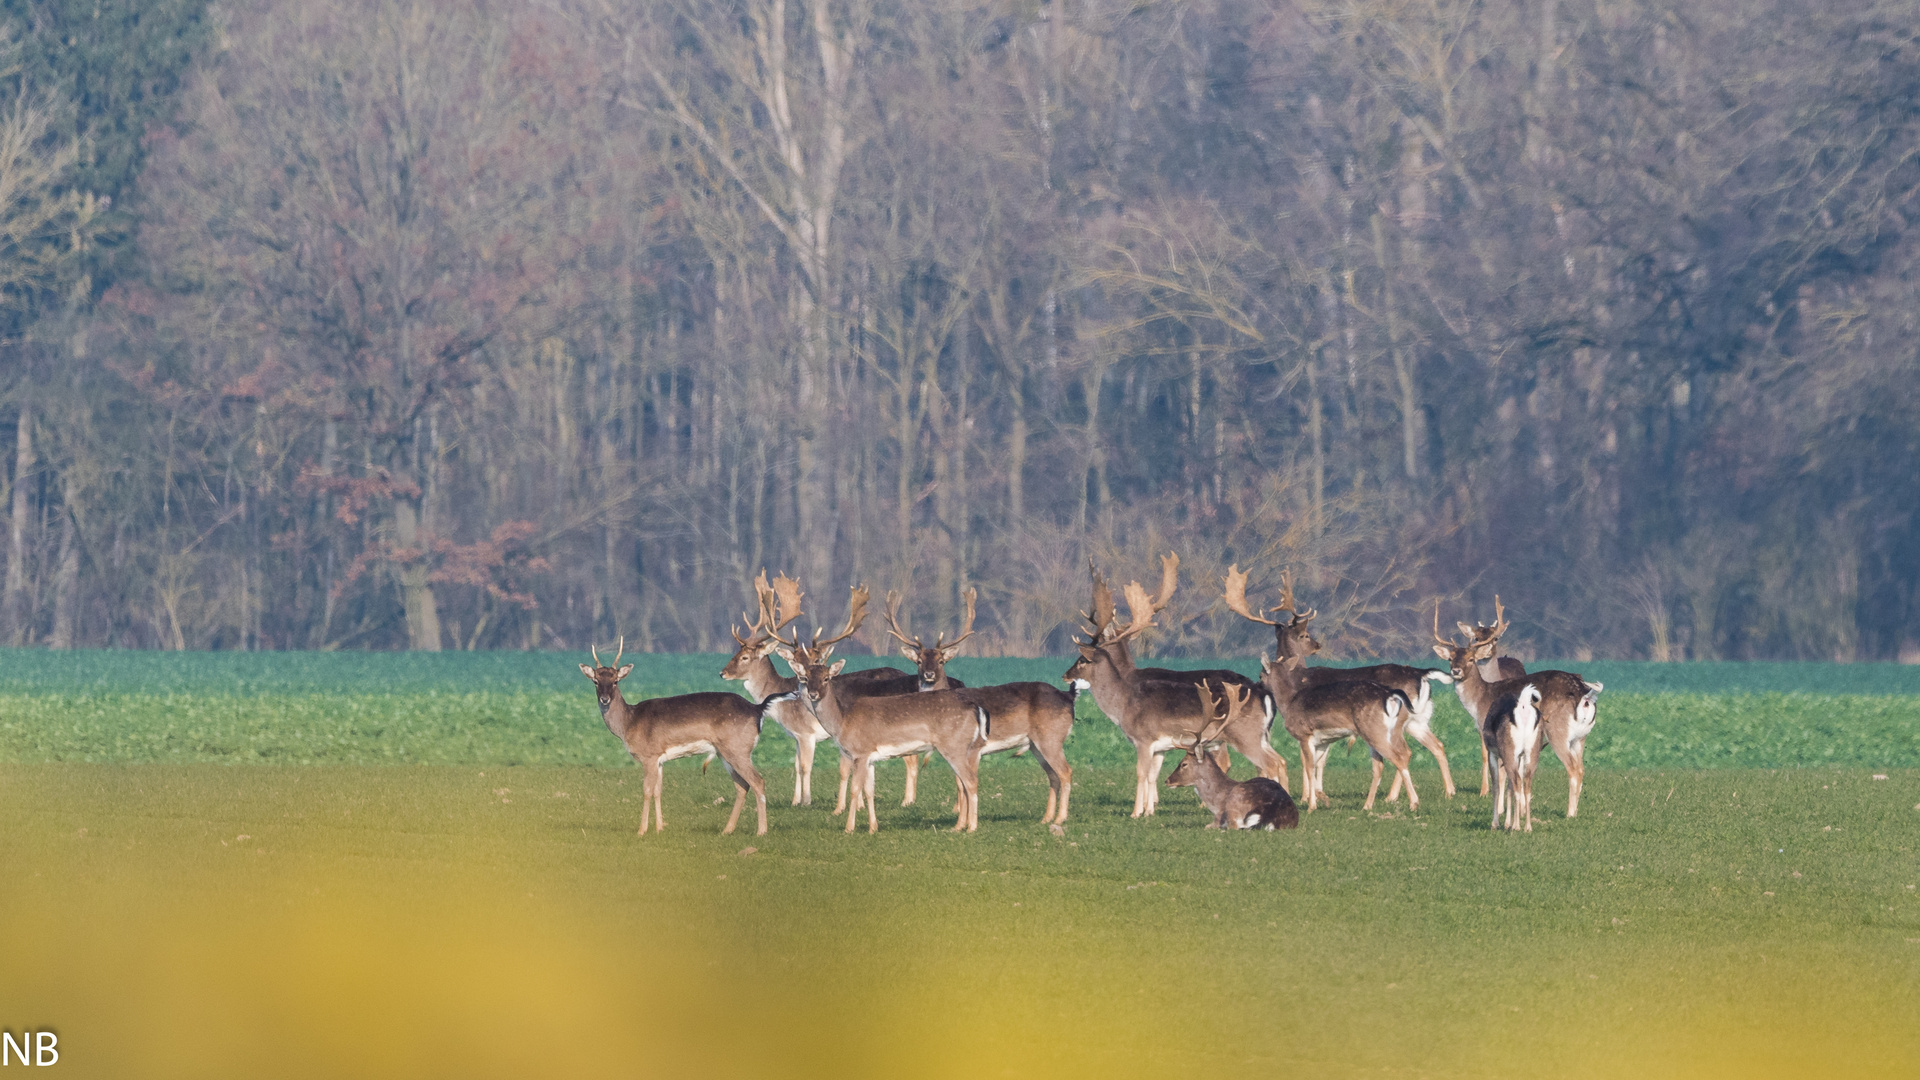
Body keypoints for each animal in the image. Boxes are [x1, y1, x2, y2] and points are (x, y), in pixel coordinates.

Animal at [576, 638, 771, 834]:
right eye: (595, 680)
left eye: (616, 681)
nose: (605, 699)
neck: (629, 722)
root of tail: (757, 709)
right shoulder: (659, 759)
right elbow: (658, 791)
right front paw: (660, 828)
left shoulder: (649, 755)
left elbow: (647, 790)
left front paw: (642, 830)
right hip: (725, 752)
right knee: (742, 785)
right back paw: (727, 830)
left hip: (738, 749)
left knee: (758, 781)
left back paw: (761, 831)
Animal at [1067, 568, 1290, 810]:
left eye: (1082, 660)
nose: (1065, 675)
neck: (1123, 701)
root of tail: (1263, 693)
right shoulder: (1160, 746)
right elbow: (1152, 775)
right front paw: (1150, 810)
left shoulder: (1143, 740)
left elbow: (1141, 773)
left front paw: (1137, 811)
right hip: (1260, 736)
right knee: (1280, 760)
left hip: (1244, 735)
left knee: (1267, 764)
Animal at [1159, 680, 1297, 834]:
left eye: (1184, 763)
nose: (1167, 780)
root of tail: (1271, 813)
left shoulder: (1219, 817)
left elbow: (1211, 825)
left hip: (1236, 803)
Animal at [1428, 595, 1605, 814]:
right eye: (1450, 658)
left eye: (1471, 659)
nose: (1456, 671)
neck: (1480, 700)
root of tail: (1585, 696)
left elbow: (1502, 773)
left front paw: (1500, 810)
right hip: (1580, 737)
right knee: (1581, 768)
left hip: (1557, 730)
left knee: (1573, 769)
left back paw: (1569, 814)